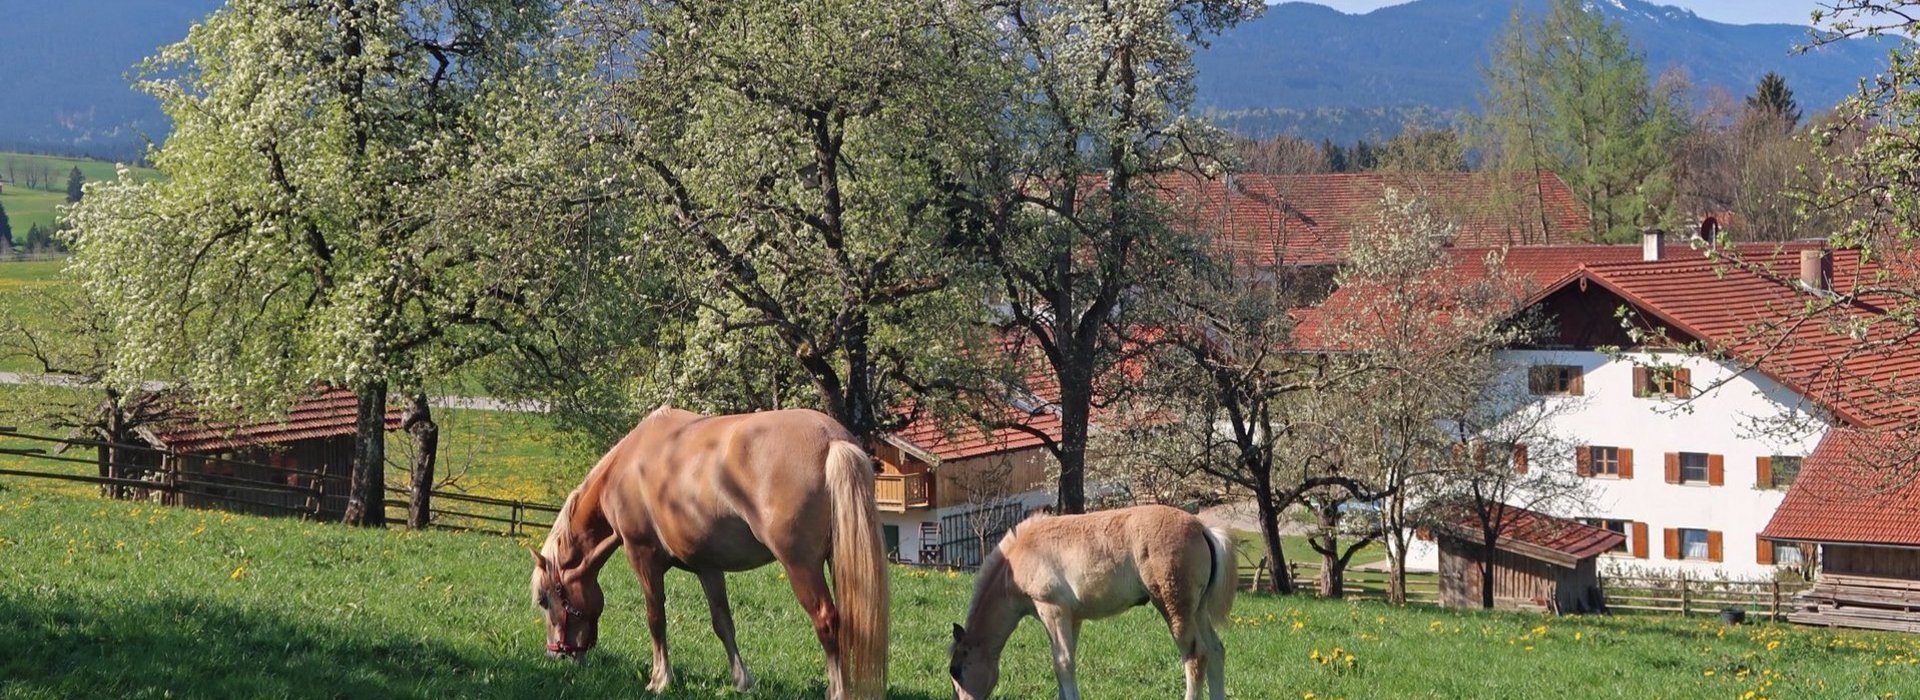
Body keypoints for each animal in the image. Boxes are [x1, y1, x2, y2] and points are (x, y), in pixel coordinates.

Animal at [526, 406, 883, 694]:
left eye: (545, 600)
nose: (555, 653)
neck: (628, 467)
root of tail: (831, 440)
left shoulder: (642, 557)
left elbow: (655, 617)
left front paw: (660, 679)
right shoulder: (708, 567)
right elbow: (723, 623)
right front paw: (742, 680)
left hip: (801, 566)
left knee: (827, 620)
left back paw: (838, 690)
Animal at [952, 506, 1236, 698]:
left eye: (956, 670)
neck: (1023, 554)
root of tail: (1202, 528)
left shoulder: (1052, 611)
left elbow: (1063, 664)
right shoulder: (1072, 618)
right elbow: (1064, 662)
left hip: (1174, 608)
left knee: (1196, 657)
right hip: (1197, 610)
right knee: (1215, 651)